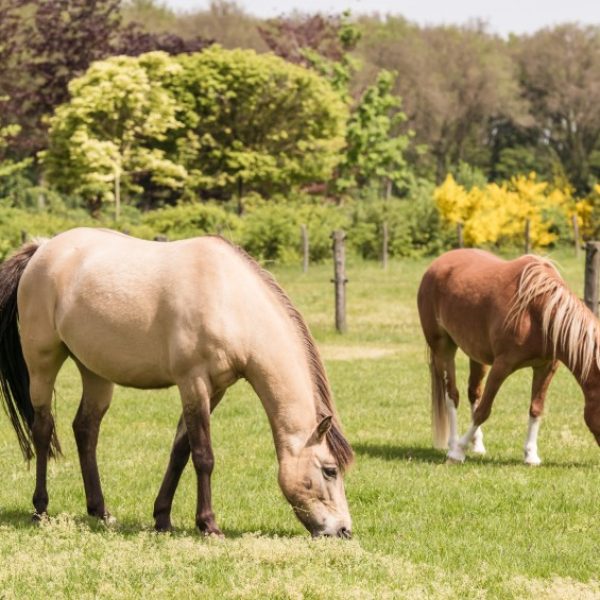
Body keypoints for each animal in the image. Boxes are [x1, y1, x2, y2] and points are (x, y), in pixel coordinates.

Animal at [0, 227, 354, 536]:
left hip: (95, 372)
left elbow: (180, 451)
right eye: (330, 470)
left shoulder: (216, 389)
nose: (343, 531)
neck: (229, 298)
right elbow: (203, 455)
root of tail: (43, 248)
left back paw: (100, 512)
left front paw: (162, 519)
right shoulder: (193, 382)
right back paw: (40, 509)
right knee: (43, 429)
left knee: (86, 430)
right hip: (43, 362)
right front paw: (209, 525)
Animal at [418, 248, 600, 464]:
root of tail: (436, 264)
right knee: (452, 395)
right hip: (443, 348)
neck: (537, 310)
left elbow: (536, 408)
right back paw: (453, 444)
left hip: (477, 356)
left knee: (473, 393)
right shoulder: (502, 366)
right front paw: (458, 452)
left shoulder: (546, 367)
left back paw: (477, 445)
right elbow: (483, 411)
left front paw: (531, 455)